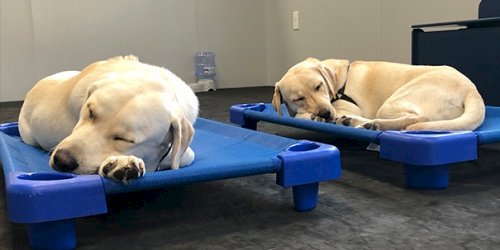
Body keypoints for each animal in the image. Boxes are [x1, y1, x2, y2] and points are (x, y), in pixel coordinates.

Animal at [272, 57, 486, 131]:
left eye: (319, 86)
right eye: (298, 99)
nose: (325, 113)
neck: (339, 82)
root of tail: (471, 90)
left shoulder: (346, 105)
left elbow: (302, 115)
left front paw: (313, 116)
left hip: (392, 103)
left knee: (417, 118)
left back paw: (374, 124)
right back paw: (356, 123)